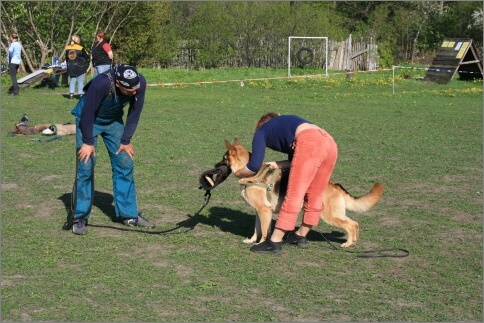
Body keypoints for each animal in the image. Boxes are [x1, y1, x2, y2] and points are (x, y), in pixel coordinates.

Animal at [217, 139, 384, 248]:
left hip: (329, 216)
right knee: (355, 223)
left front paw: (261, 244)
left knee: (351, 225)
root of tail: (334, 185)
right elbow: (257, 230)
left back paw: (348, 243)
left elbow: (264, 231)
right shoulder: (260, 212)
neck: (251, 173)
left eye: (224, 159)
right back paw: (352, 242)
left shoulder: (264, 211)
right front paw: (252, 241)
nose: (215, 165)